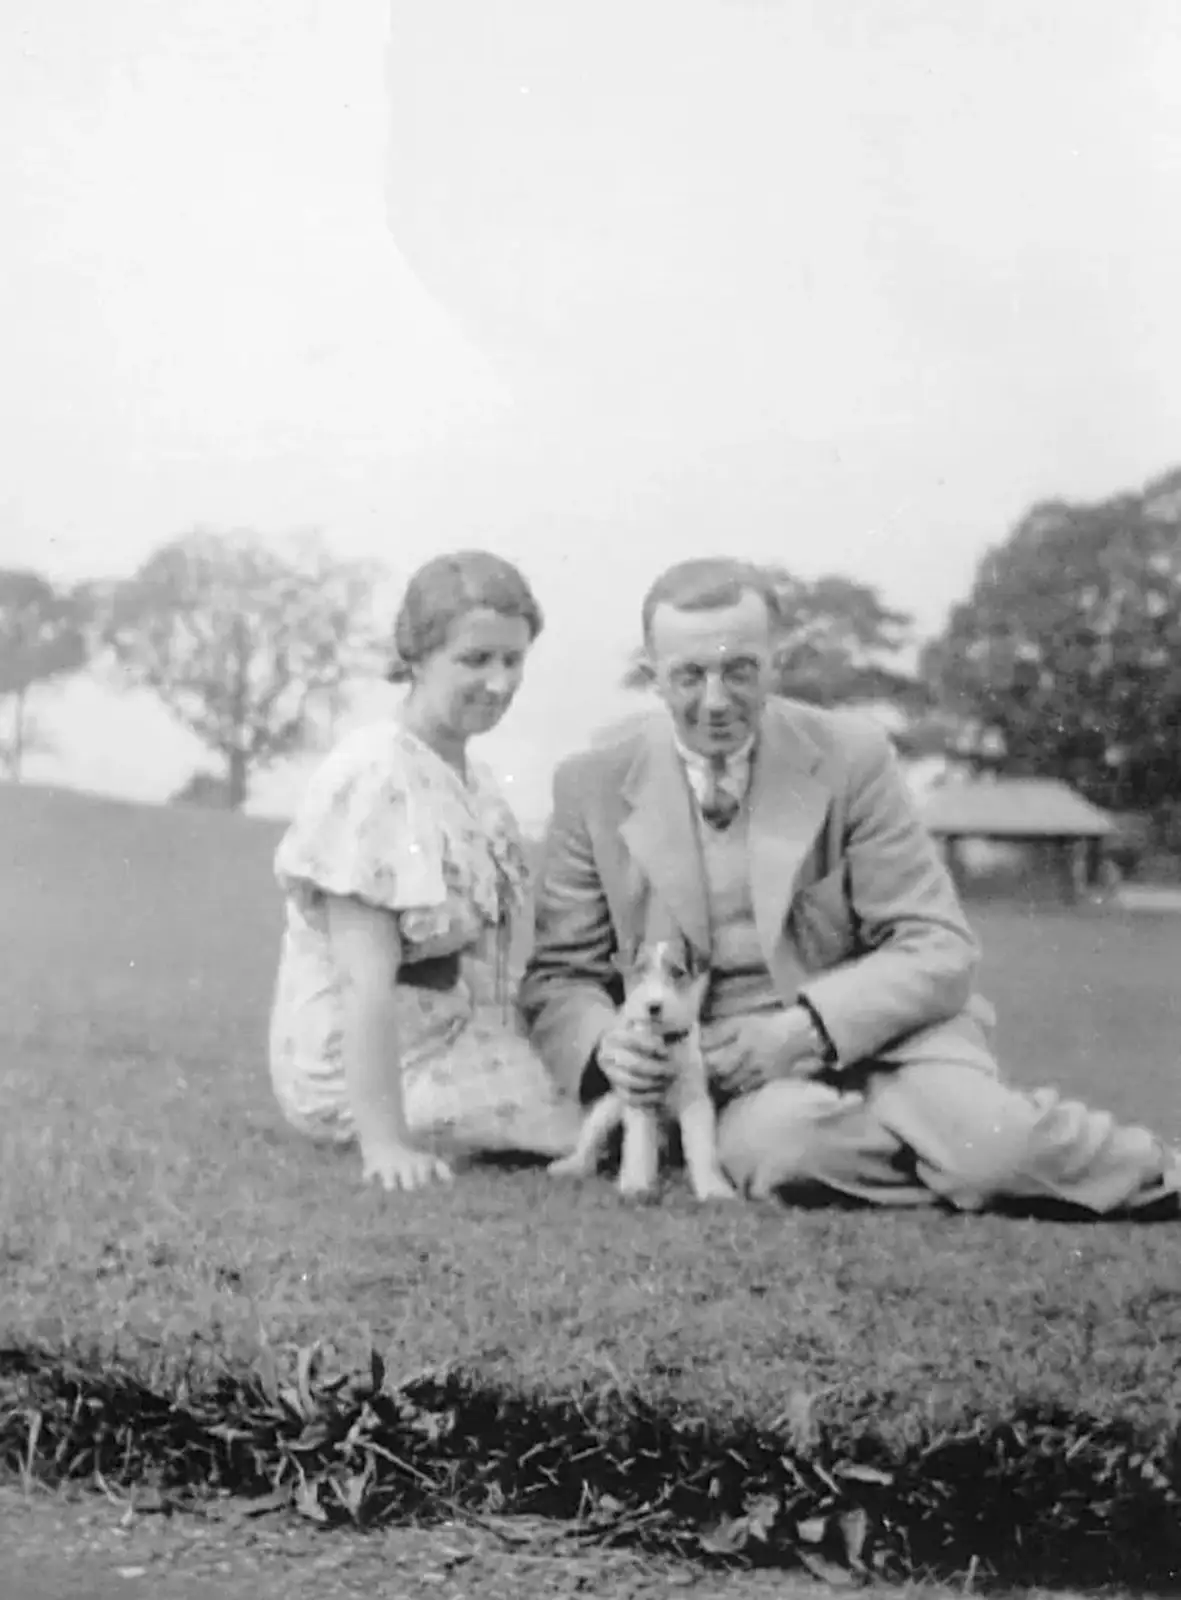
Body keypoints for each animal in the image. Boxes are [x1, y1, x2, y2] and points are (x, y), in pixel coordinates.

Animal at [547, 934, 732, 1203]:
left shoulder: (695, 1101)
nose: (653, 1007)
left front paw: (714, 1188)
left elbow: (702, 1147)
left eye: (677, 972)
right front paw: (635, 1184)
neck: (664, 1041)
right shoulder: (640, 1096)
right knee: (590, 1147)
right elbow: (639, 1146)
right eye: (640, 970)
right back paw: (570, 1167)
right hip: (607, 1109)